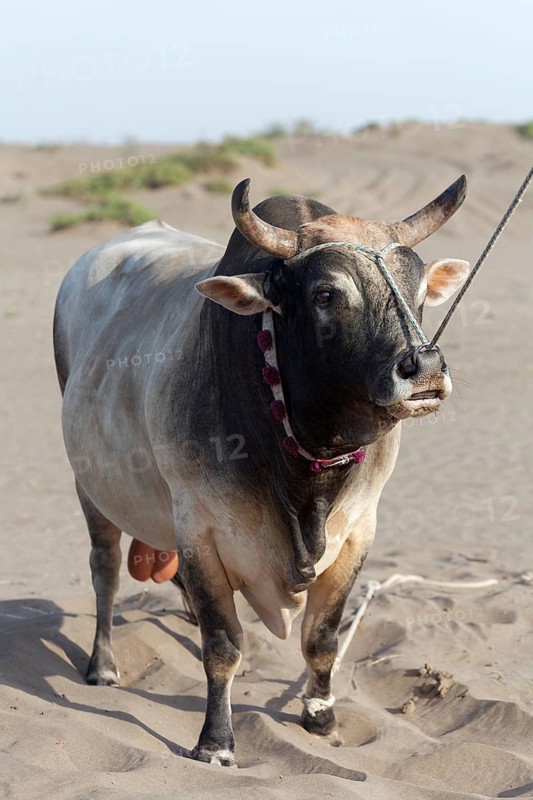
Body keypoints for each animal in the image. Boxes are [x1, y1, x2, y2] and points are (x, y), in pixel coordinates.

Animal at [53, 176, 470, 766]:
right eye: (326, 295)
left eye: (417, 293)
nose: (426, 368)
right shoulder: (200, 529)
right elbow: (223, 645)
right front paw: (216, 742)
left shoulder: (359, 530)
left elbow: (323, 637)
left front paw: (320, 716)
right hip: (90, 487)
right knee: (105, 571)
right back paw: (103, 664)